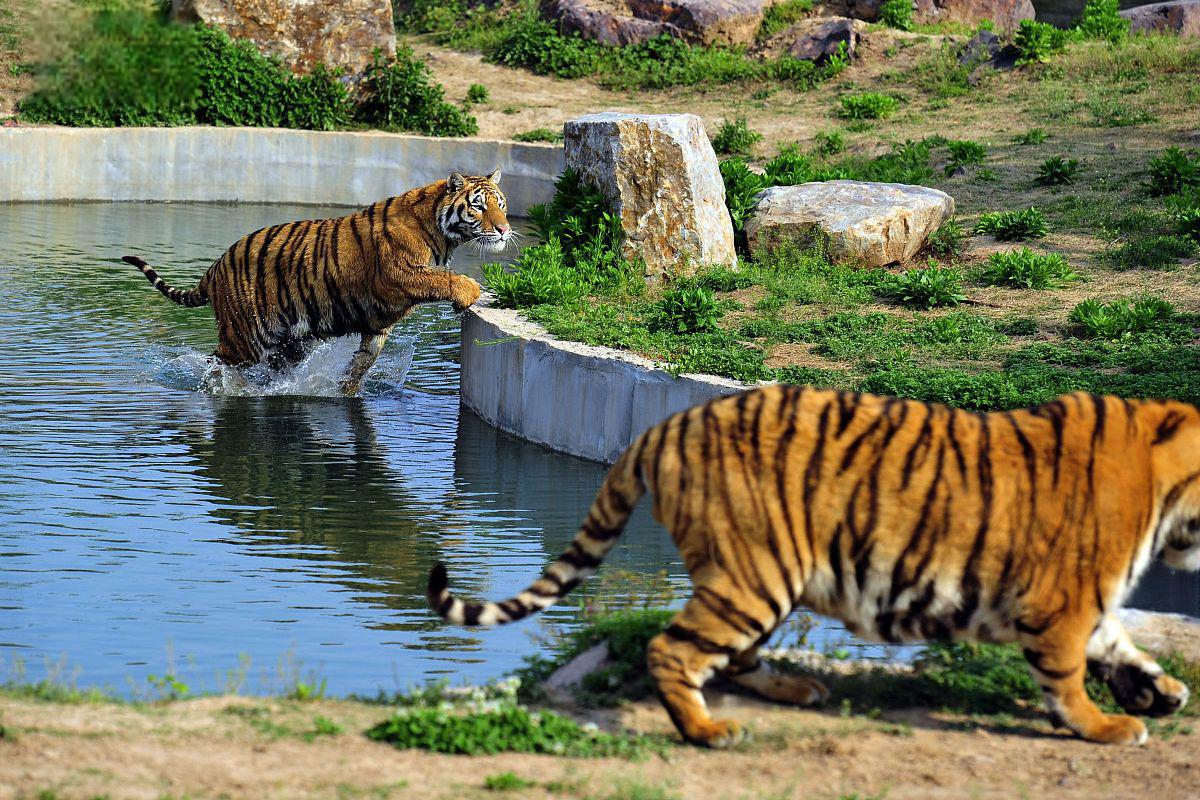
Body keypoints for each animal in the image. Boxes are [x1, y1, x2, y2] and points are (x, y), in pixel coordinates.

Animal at [124, 171, 508, 393]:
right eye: (478, 206)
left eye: (501, 205)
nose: (505, 229)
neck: (444, 236)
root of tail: (216, 266)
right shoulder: (399, 274)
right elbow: (445, 279)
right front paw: (472, 292)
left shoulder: (378, 322)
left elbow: (364, 360)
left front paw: (345, 388)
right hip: (244, 337)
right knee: (215, 364)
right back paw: (221, 389)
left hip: (289, 343)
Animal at [427, 388, 1195, 753]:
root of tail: (662, 426)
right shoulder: (1064, 599)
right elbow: (1067, 675)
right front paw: (1106, 727)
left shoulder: (1086, 603)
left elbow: (1120, 645)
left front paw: (1161, 692)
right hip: (756, 574)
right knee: (673, 649)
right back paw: (707, 732)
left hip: (762, 576)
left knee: (728, 656)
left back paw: (795, 690)